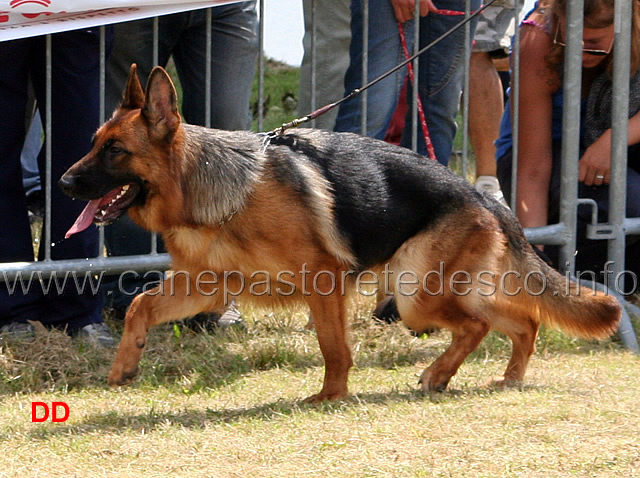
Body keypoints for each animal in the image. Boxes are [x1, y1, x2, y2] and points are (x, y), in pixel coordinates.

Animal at [60, 65, 620, 402]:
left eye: (114, 151)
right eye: (93, 142)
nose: (64, 182)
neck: (209, 187)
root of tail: (483, 197)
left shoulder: (324, 282)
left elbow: (334, 348)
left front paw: (331, 396)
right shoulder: (206, 286)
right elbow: (140, 306)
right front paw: (124, 365)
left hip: (417, 295)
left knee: (481, 324)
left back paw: (441, 375)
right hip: (435, 292)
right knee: (522, 322)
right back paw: (506, 379)